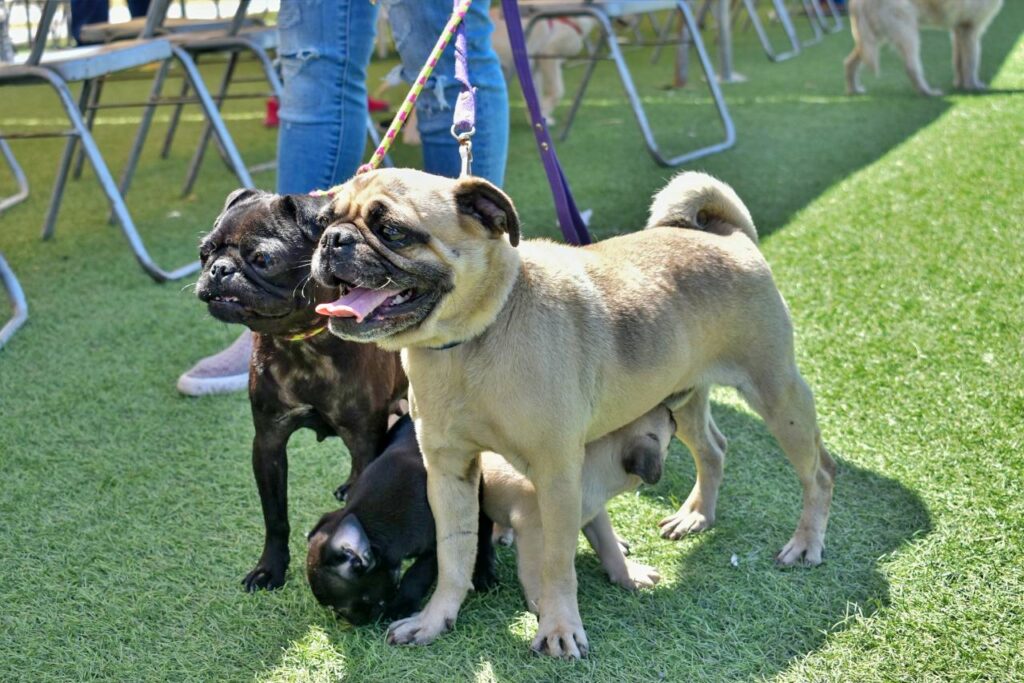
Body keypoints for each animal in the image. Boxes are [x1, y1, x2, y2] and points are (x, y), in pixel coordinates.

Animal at [195, 191, 407, 593]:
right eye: (204, 252)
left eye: (263, 260)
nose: (219, 269)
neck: (302, 344)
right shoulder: (268, 444)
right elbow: (275, 516)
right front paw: (270, 568)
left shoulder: (365, 437)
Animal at [303, 413, 495, 626]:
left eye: (341, 608)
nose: (358, 623)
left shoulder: (437, 545)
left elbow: (417, 574)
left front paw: (401, 605)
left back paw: (484, 571)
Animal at [843, 0, 1003, 95]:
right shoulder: (969, 29)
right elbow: (971, 63)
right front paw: (973, 86)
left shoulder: (958, 31)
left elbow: (959, 63)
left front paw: (960, 84)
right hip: (908, 33)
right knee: (911, 68)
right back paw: (928, 92)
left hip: (874, 40)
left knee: (849, 62)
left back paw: (853, 90)